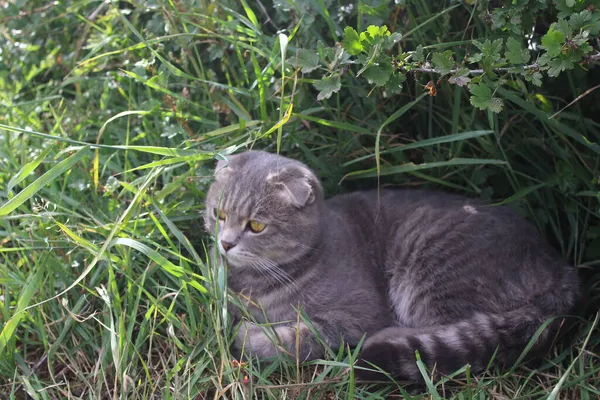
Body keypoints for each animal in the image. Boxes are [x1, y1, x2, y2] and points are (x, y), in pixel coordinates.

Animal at [203, 150, 580, 382]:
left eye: (256, 226)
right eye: (218, 215)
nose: (226, 243)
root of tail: (560, 268)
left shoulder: (357, 316)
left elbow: (296, 338)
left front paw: (247, 334)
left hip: (432, 276)